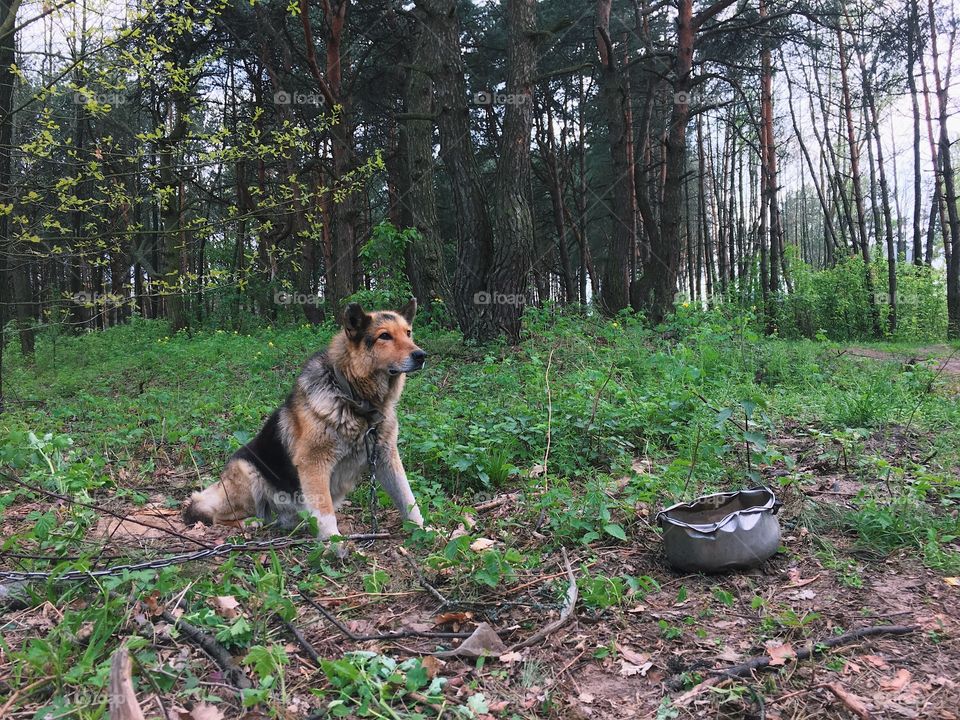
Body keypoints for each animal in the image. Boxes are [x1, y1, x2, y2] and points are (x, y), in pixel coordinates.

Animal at [183, 300, 428, 544]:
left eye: (408, 333)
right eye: (384, 336)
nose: (421, 355)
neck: (353, 399)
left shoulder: (386, 458)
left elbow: (408, 498)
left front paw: (424, 530)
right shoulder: (313, 463)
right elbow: (325, 511)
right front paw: (333, 542)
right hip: (248, 472)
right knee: (208, 511)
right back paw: (248, 523)